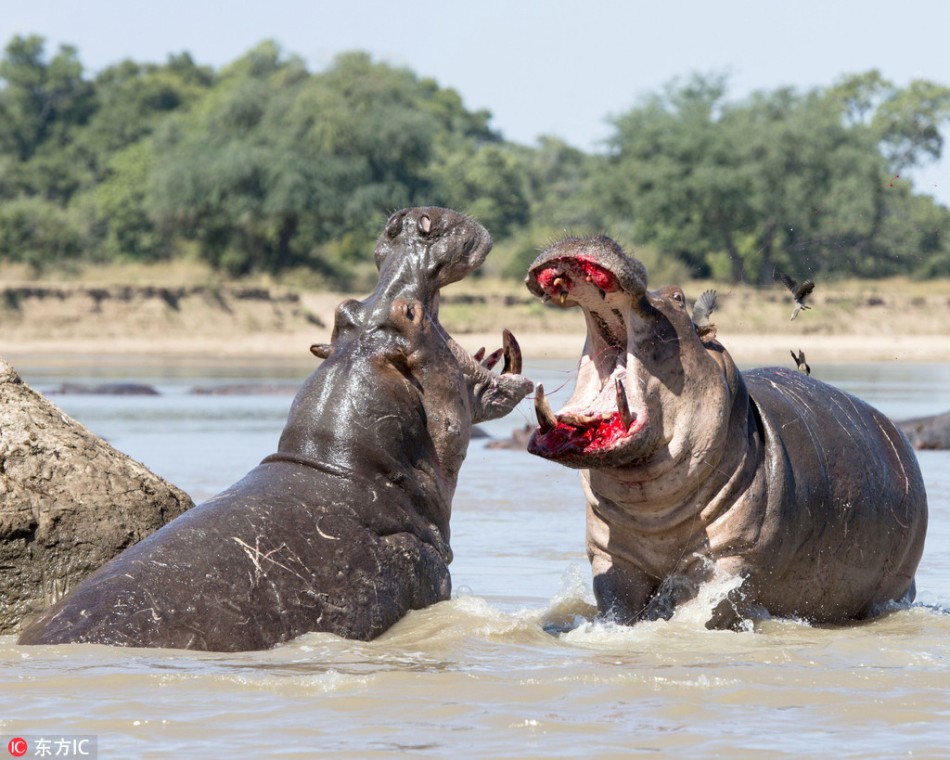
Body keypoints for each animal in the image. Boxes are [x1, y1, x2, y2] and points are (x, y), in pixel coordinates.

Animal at [524, 236, 924, 628]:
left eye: (677, 296)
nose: (594, 236)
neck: (652, 512)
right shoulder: (612, 557)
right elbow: (617, 605)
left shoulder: (734, 557)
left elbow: (702, 607)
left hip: (894, 585)